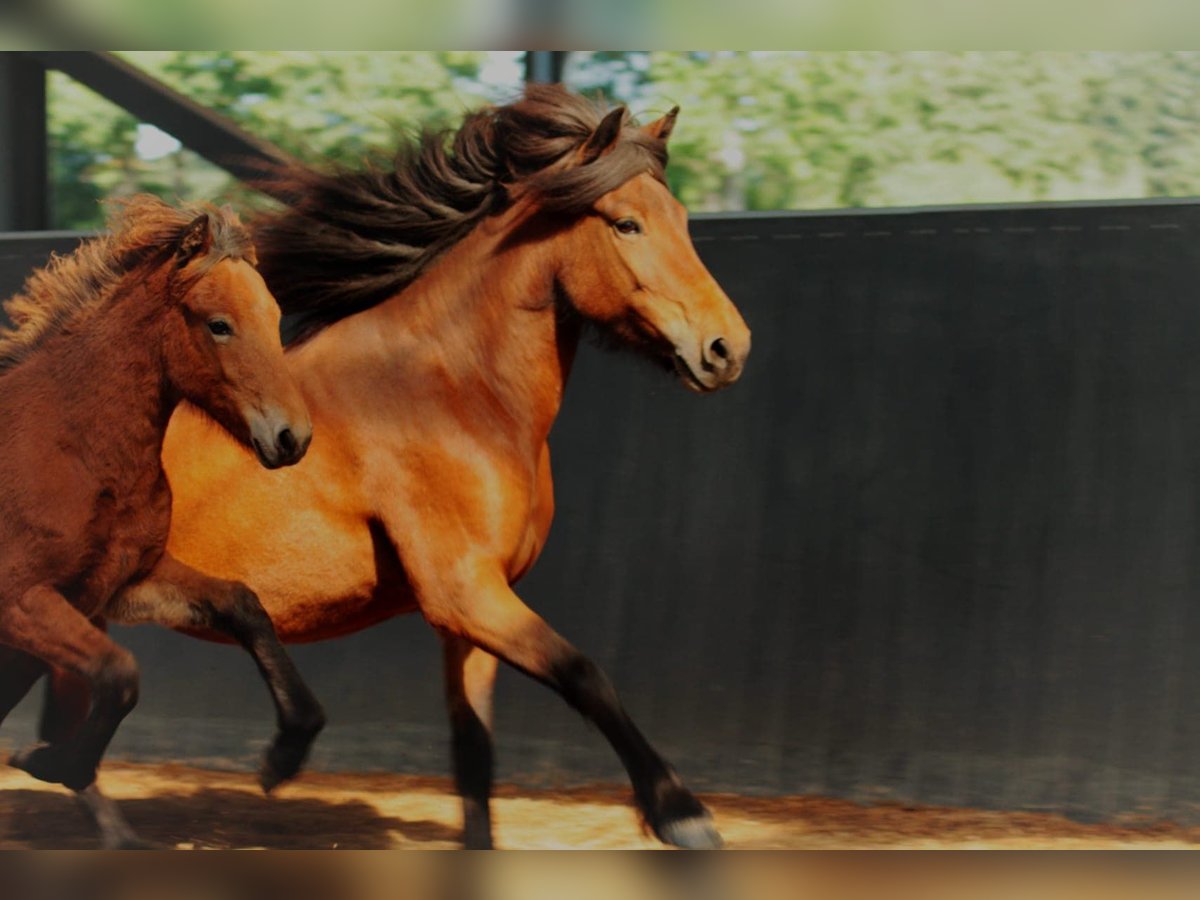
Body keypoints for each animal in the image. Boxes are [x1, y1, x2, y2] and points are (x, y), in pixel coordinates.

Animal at [0, 196, 323, 848]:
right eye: (218, 324)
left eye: (275, 316)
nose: (292, 437)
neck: (69, 449)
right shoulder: (20, 600)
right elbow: (118, 672)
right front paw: (50, 761)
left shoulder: (121, 584)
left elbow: (242, 603)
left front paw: (287, 750)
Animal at [48, 86, 752, 848]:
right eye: (626, 223)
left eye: (682, 219)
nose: (727, 347)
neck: (449, 393)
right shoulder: (464, 591)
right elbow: (585, 675)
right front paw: (684, 816)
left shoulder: (473, 610)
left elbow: (473, 751)